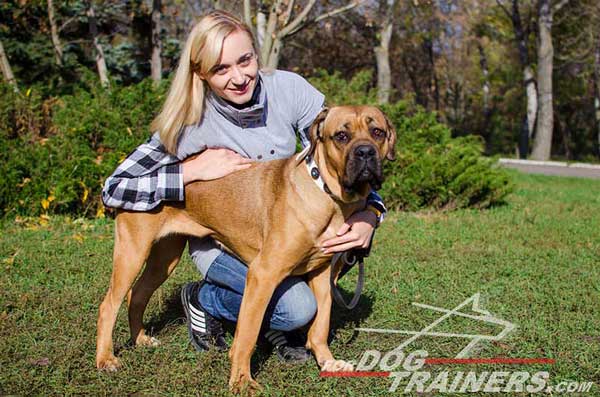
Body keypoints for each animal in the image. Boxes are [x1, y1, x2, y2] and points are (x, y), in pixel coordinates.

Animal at [96, 104, 396, 390]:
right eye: (341, 136)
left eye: (377, 132)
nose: (366, 152)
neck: (326, 193)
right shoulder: (263, 274)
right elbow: (248, 335)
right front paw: (241, 380)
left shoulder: (322, 274)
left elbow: (320, 324)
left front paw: (327, 361)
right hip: (133, 251)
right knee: (109, 304)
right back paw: (106, 359)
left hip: (164, 258)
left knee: (138, 294)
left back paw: (141, 339)